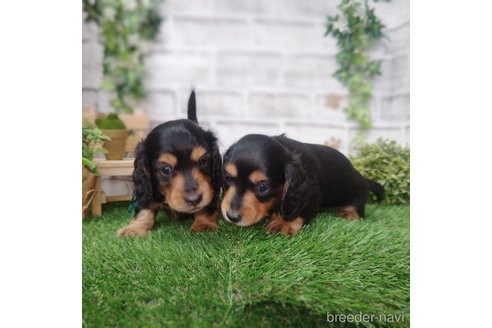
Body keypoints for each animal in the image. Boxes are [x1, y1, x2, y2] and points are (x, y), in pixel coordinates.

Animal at [117, 91, 221, 237]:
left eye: (203, 161)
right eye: (166, 169)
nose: (194, 199)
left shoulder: (212, 187)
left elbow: (207, 205)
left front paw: (204, 224)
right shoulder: (147, 189)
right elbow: (145, 208)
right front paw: (135, 228)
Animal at [221, 134, 386, 236]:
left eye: (262, 187)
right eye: (227, 177)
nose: (231, 216)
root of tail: (363, 178)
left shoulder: (311, 195)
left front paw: (284, 223)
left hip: (355, 193)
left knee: (358, 210)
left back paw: (349, 213)